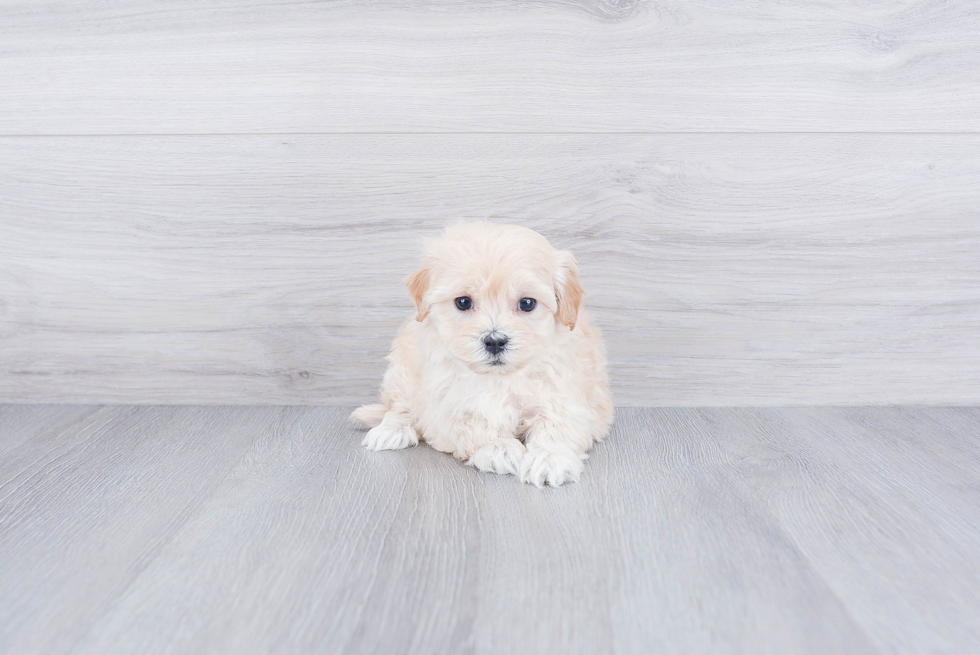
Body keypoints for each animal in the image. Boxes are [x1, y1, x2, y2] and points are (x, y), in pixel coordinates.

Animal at [352, 224, 612, 486]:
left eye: (527, 303)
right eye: (463, 302)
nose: (495, 341)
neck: (497, 377)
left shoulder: (567, 396)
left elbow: (557, 424)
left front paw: (549, 458)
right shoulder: (443, 405)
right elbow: (474, 423)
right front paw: (499, 448)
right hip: (402, 369)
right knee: (399, 406)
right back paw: (390, 431)